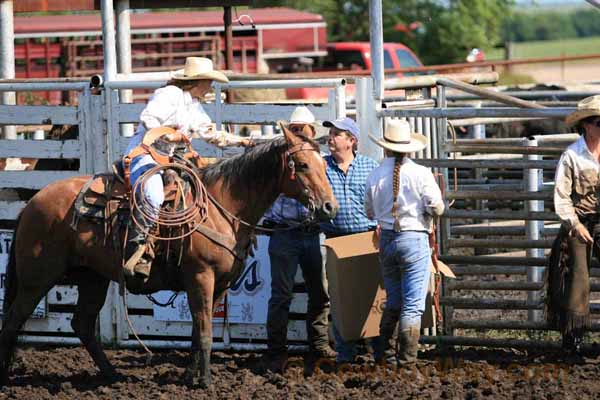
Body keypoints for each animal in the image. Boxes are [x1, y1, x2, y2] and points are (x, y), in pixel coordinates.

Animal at [0, 127, 338, 388]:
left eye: (323, 164)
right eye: (302, 165)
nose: (329, 207)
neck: (222, 208)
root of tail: (33, 202)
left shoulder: (220, 284)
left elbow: (198, 331)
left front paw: (191, 377)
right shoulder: (201, 277)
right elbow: (204, 331)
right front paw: (205, 382)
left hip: (92, 278)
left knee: (82, 323)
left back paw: (113, 375)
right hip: (36, 279)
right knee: (13, 320)